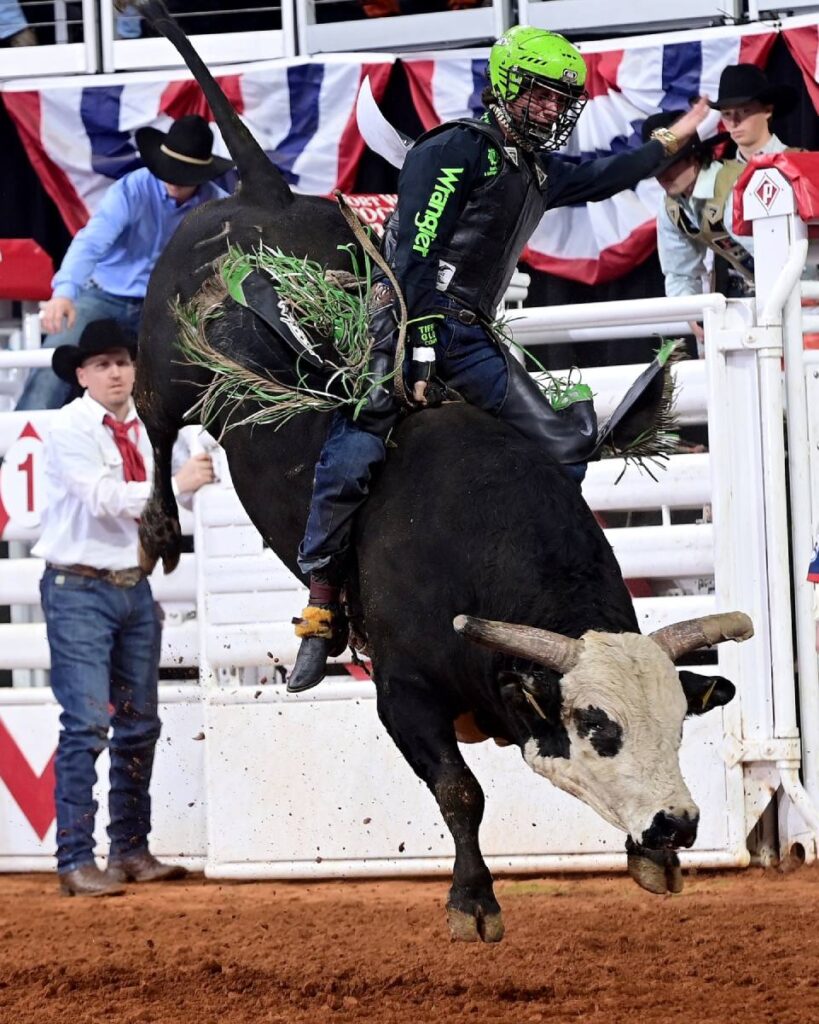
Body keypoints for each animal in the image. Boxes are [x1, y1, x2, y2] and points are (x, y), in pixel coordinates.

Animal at [129, 0, 753, 942]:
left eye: (679, 723)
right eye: (597, 727)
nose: (675, 823)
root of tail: (265, 188)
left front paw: (651, 862)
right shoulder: (403, 692)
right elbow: (461, 792)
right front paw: (473, 902)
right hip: (169, 368)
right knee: (156, 425)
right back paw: (162, 531)